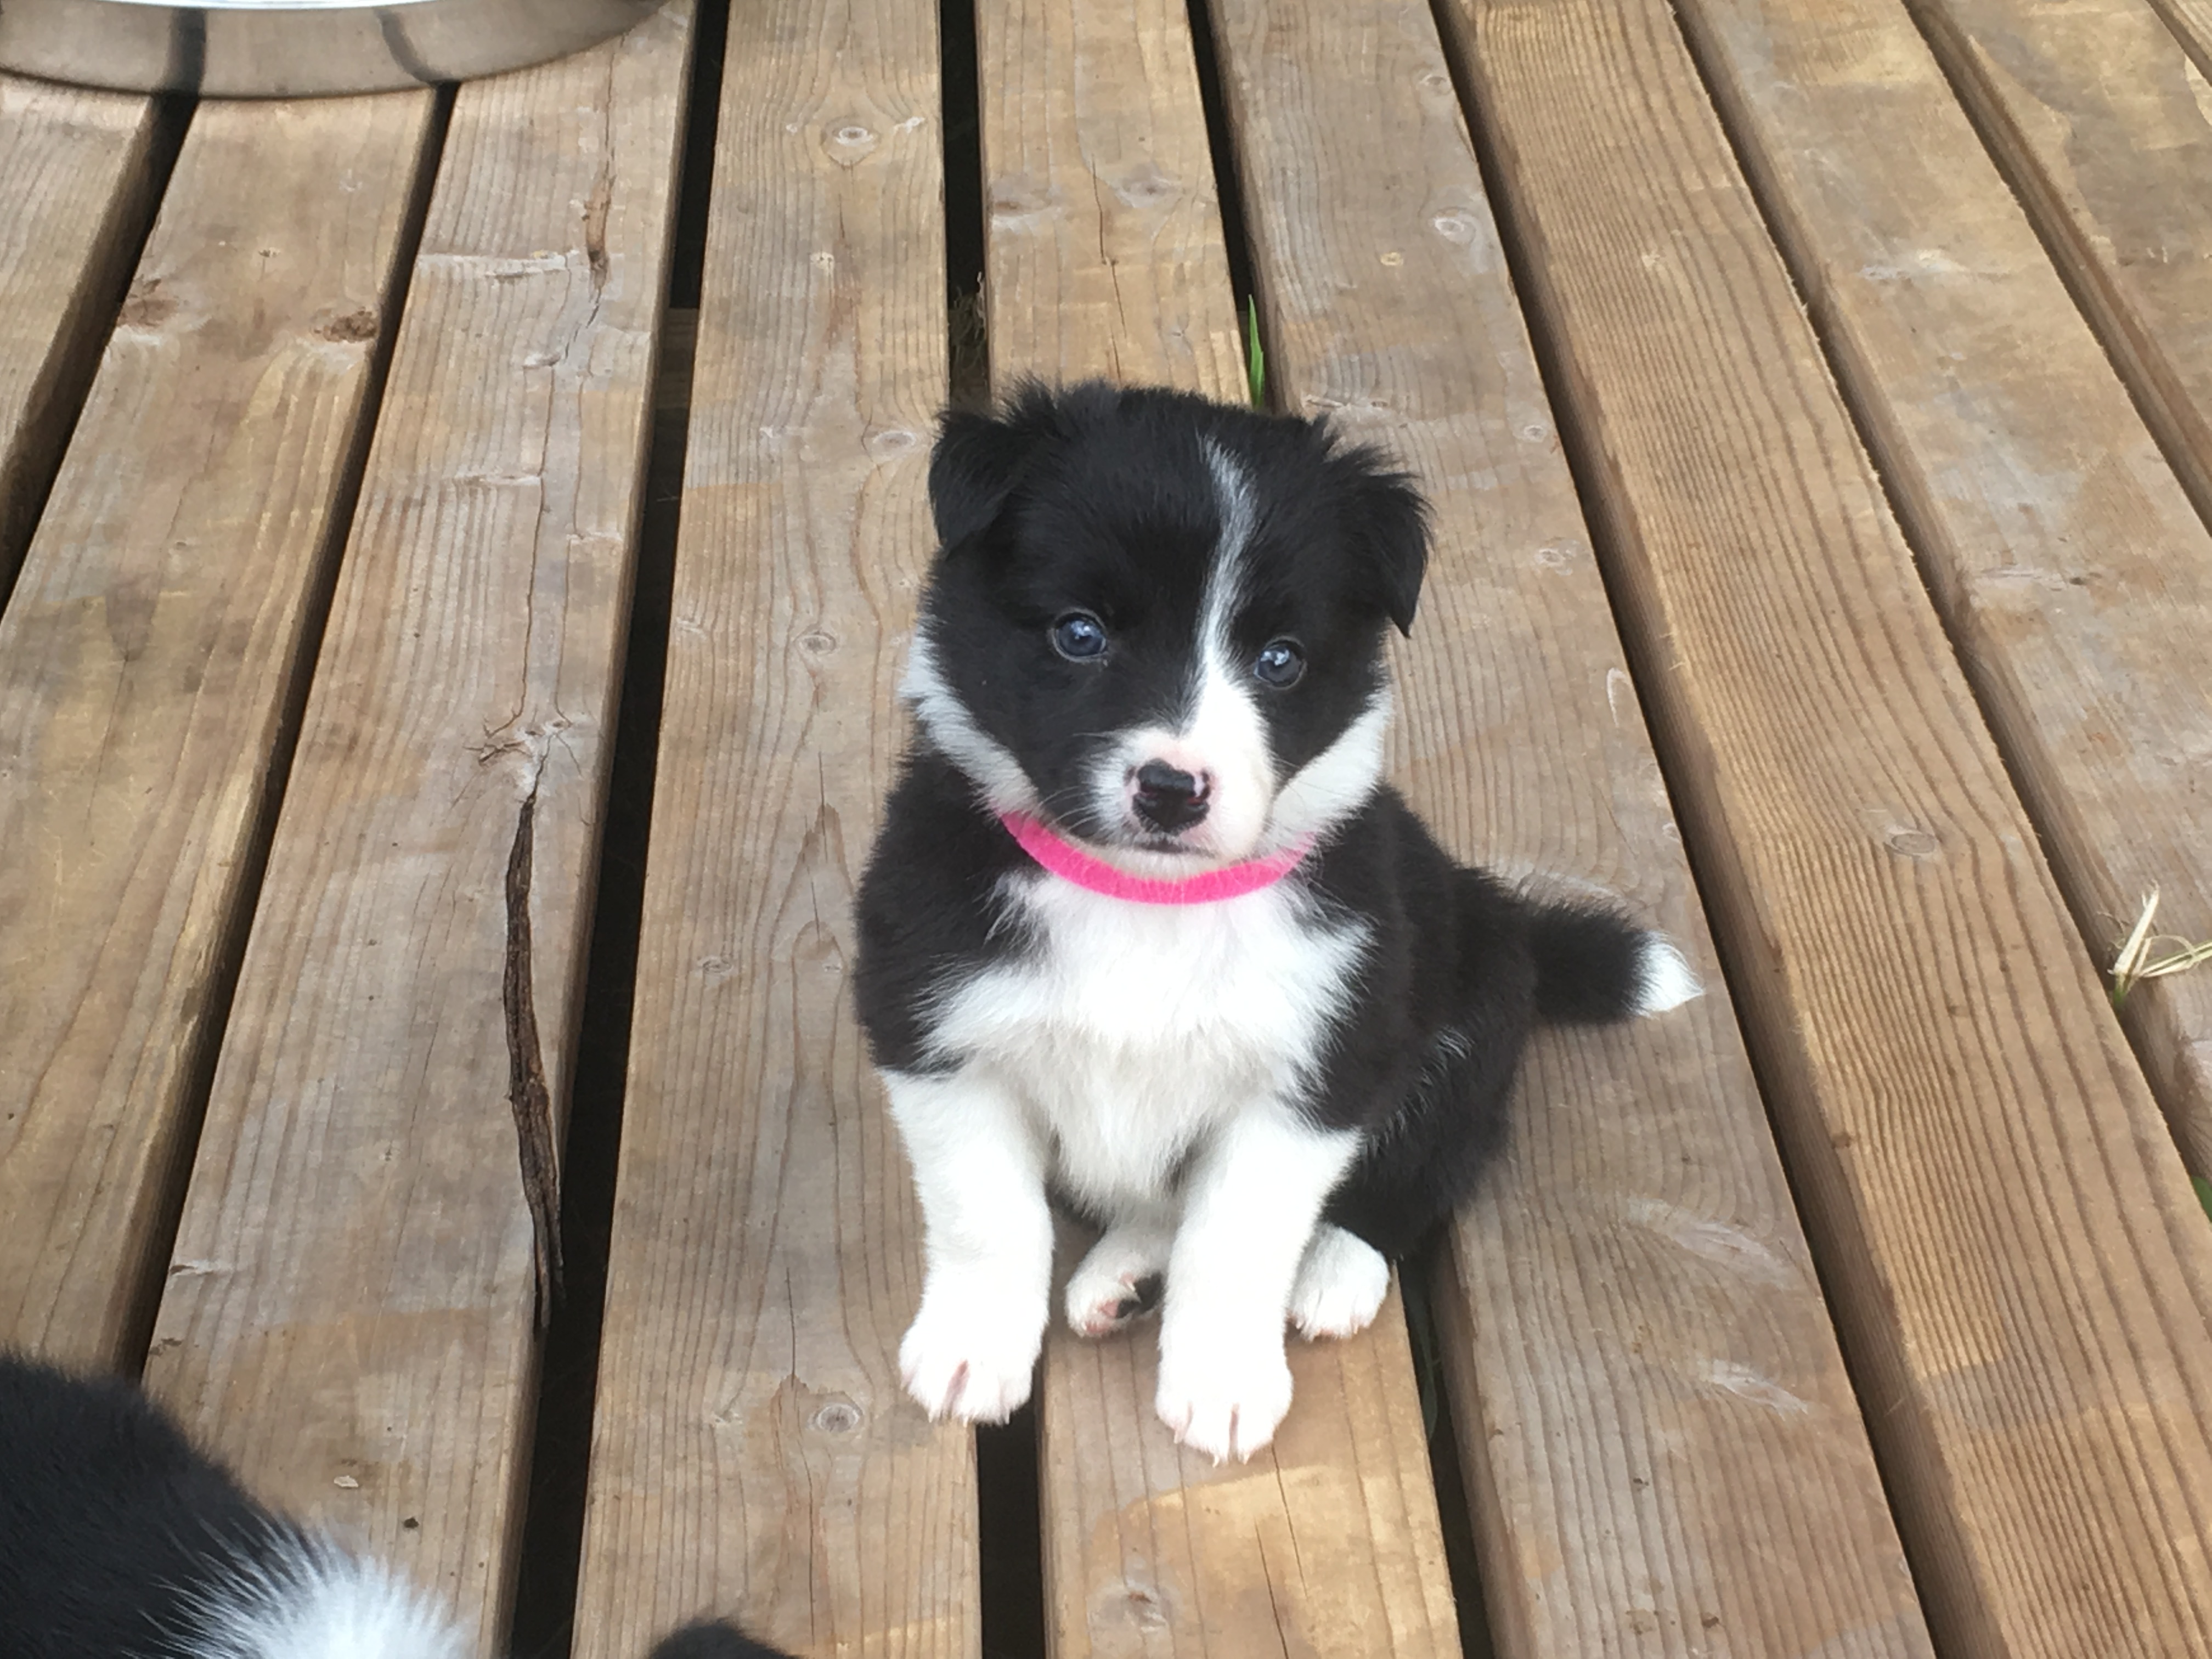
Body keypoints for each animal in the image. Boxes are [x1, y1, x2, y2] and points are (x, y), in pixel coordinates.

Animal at [854, 382, 1699, 1460]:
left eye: (1281, 660)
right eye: (1079, 633)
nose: (1172, 789)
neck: (1144, 898)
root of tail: (1501, 915)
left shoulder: (1315, 1071)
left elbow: (1237, 1236)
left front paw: (1221, 1382)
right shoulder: (935, 1030)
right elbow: (986, 1210)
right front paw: (972, 1349)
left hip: (1465, 1012)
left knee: (1422, 1167)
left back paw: (1333, 1266)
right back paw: (1126, 1274)